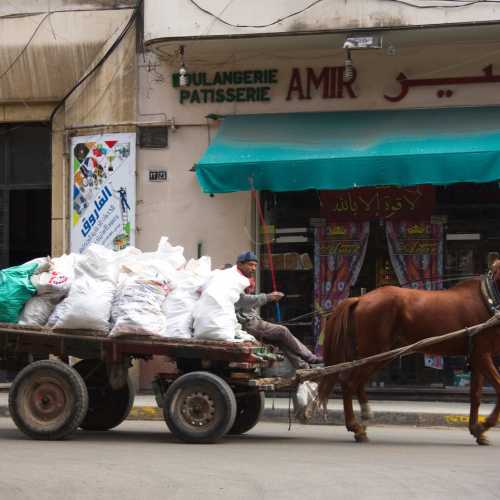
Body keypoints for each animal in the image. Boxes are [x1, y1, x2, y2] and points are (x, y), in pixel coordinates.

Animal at [316, 266, 500, 446]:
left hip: (382, 354)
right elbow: (498, 388)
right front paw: (484, 425)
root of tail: (360, 298)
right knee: (349, 383)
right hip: (375, 351)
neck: (488, 298)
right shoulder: (481, 355)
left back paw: (365, 415)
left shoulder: (478, 356)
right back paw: (356, 427)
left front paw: (477, 430)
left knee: (356, 382)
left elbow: (475, 395)